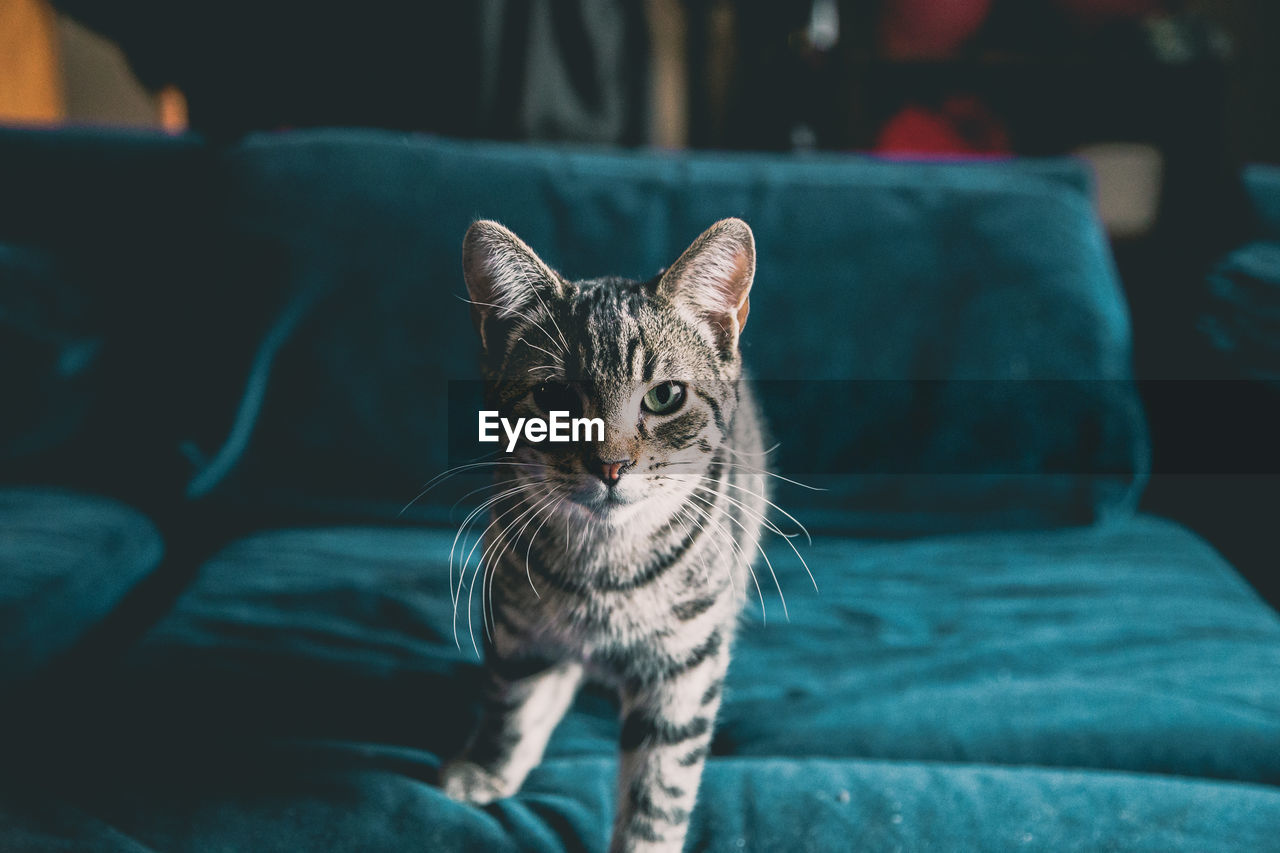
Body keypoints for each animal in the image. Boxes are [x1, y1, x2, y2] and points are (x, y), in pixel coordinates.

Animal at [440, 216, 768, 845]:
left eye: (665, 395)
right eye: (553, 397)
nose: (611, 465)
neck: (604, 566)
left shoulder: (684, 667)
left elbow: (659, 787)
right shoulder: (514, 624)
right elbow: (510, 703)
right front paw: (489, 767)